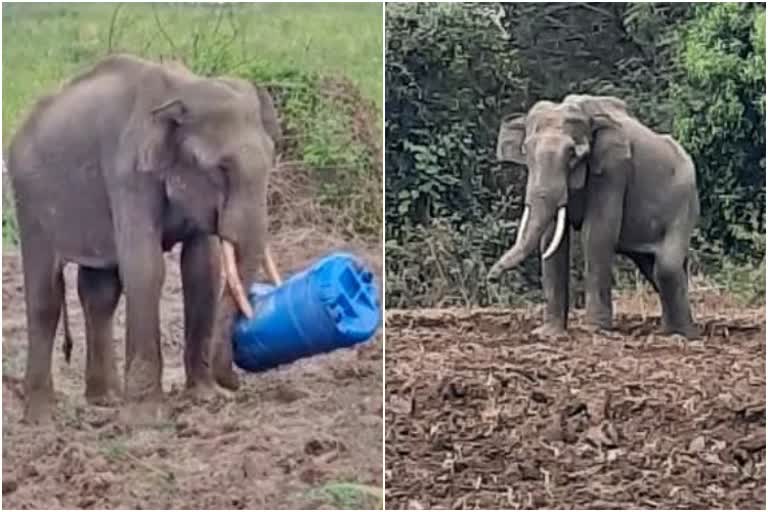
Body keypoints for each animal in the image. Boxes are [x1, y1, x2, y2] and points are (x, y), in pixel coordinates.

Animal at [7, 54, 284, 426]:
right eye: (221, 168)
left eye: (271, 157)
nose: (235, 384)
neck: (185, 89)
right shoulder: (128, 173)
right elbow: (145, 267)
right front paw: (146, 417)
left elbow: (202, 269)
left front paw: (206, 397)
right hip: (29, 201)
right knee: (45, 297)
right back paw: (42, 417)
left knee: (99, 292)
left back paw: (105, 399)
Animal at [488, 94, 700, 338]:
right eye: (526, 151)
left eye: (572, 153)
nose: (491, 276)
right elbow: (552, 239)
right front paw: (548, 333)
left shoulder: (612, 169)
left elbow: (596, 233)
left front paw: (594, 329)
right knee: (652, 266)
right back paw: (671, 332)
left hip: (684, 204)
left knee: (666, 266)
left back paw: (682, 335)